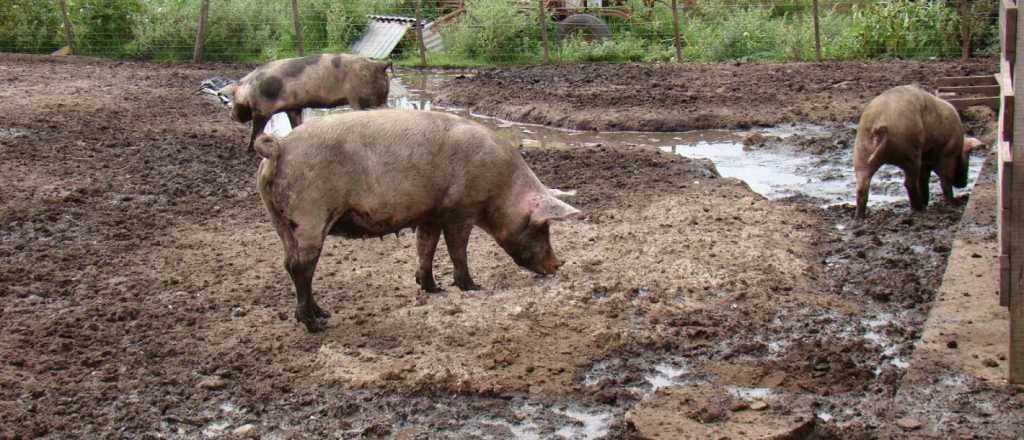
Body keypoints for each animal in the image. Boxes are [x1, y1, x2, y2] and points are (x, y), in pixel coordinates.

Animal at [218, 52, 389, 149]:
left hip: (363, 99)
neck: (250, 88)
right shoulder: (294, 107)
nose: (231, 116)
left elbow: (257, 131)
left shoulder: (262, 109)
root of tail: (379, 65)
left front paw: (249, 149)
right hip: (381, 98)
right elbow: (295, 124)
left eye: (234, 100)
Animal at [252, 108, 581, 329]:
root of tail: (279, 148)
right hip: (309, 214)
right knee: (302, 266)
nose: (558, 264)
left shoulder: (431, 214)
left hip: (279, 220)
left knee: (289, 263)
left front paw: (434, 288)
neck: (502, 187)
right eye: (542, 228)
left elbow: (426, 247)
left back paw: (322, 313)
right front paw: (473, 287)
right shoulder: (460, 211)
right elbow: (457, 250)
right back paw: (316, 324)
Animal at [847, 84, 983, 218]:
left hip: (861, 152)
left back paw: (859, 218)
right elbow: (945, 180)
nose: (963, 183)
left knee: (862, 187)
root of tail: (880, 124)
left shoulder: (926, 161)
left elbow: (924, 180)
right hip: (910, 154)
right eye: (968, 156)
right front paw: (953, 204)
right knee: (909, 183)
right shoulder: (947, 153)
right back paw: (920, 209)